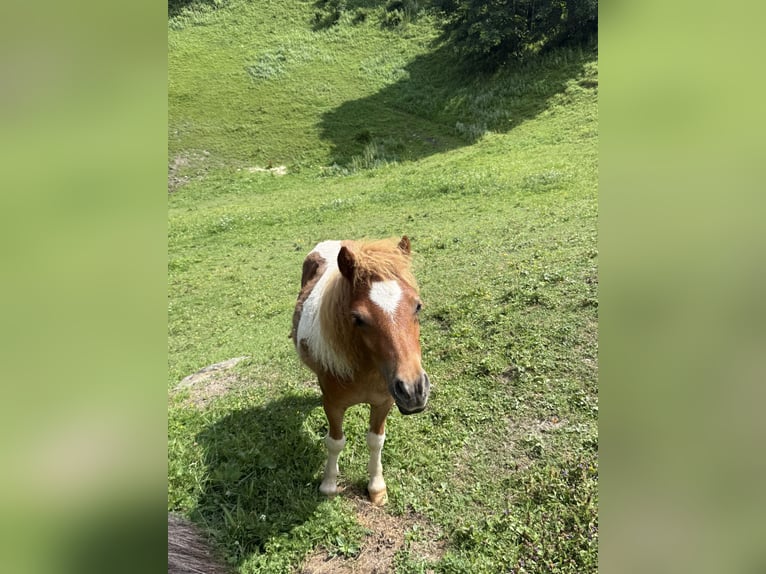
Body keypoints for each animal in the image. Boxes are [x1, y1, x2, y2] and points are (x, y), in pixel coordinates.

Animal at [291, 236, 430, 505]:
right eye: (358, 318)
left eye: (417, 306)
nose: (413, 390)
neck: (366, 371)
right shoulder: (333, 405)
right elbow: (335, 442)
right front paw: (329, 484)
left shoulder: (384, 402)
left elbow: (376, 441)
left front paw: (377, 488)